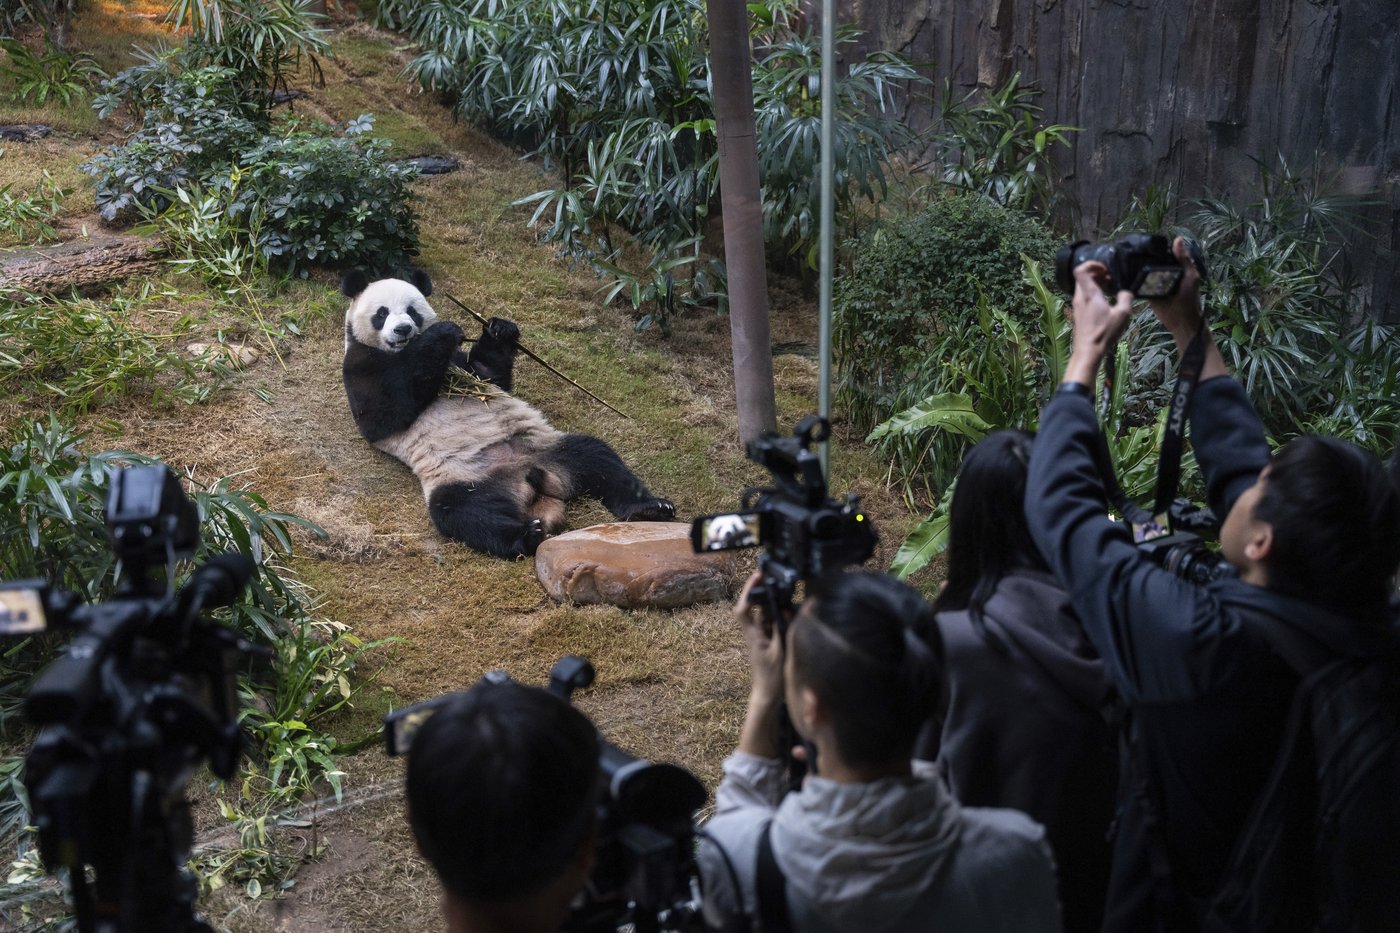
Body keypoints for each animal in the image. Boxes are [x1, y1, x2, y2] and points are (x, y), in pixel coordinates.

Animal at [341, 269, 676, 557]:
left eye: (412, 311)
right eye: (382, 313)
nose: (403, 329)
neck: (401, 350)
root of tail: (533, 482)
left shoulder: (463, 365)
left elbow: (490, 374)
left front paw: (500, 330)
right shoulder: (360, 366)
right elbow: (384, 413)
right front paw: (443, 332)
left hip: (549, 448)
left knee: (598, 457)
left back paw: (650, 508)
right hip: (466, 479)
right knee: (464, 513)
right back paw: (526, 536)